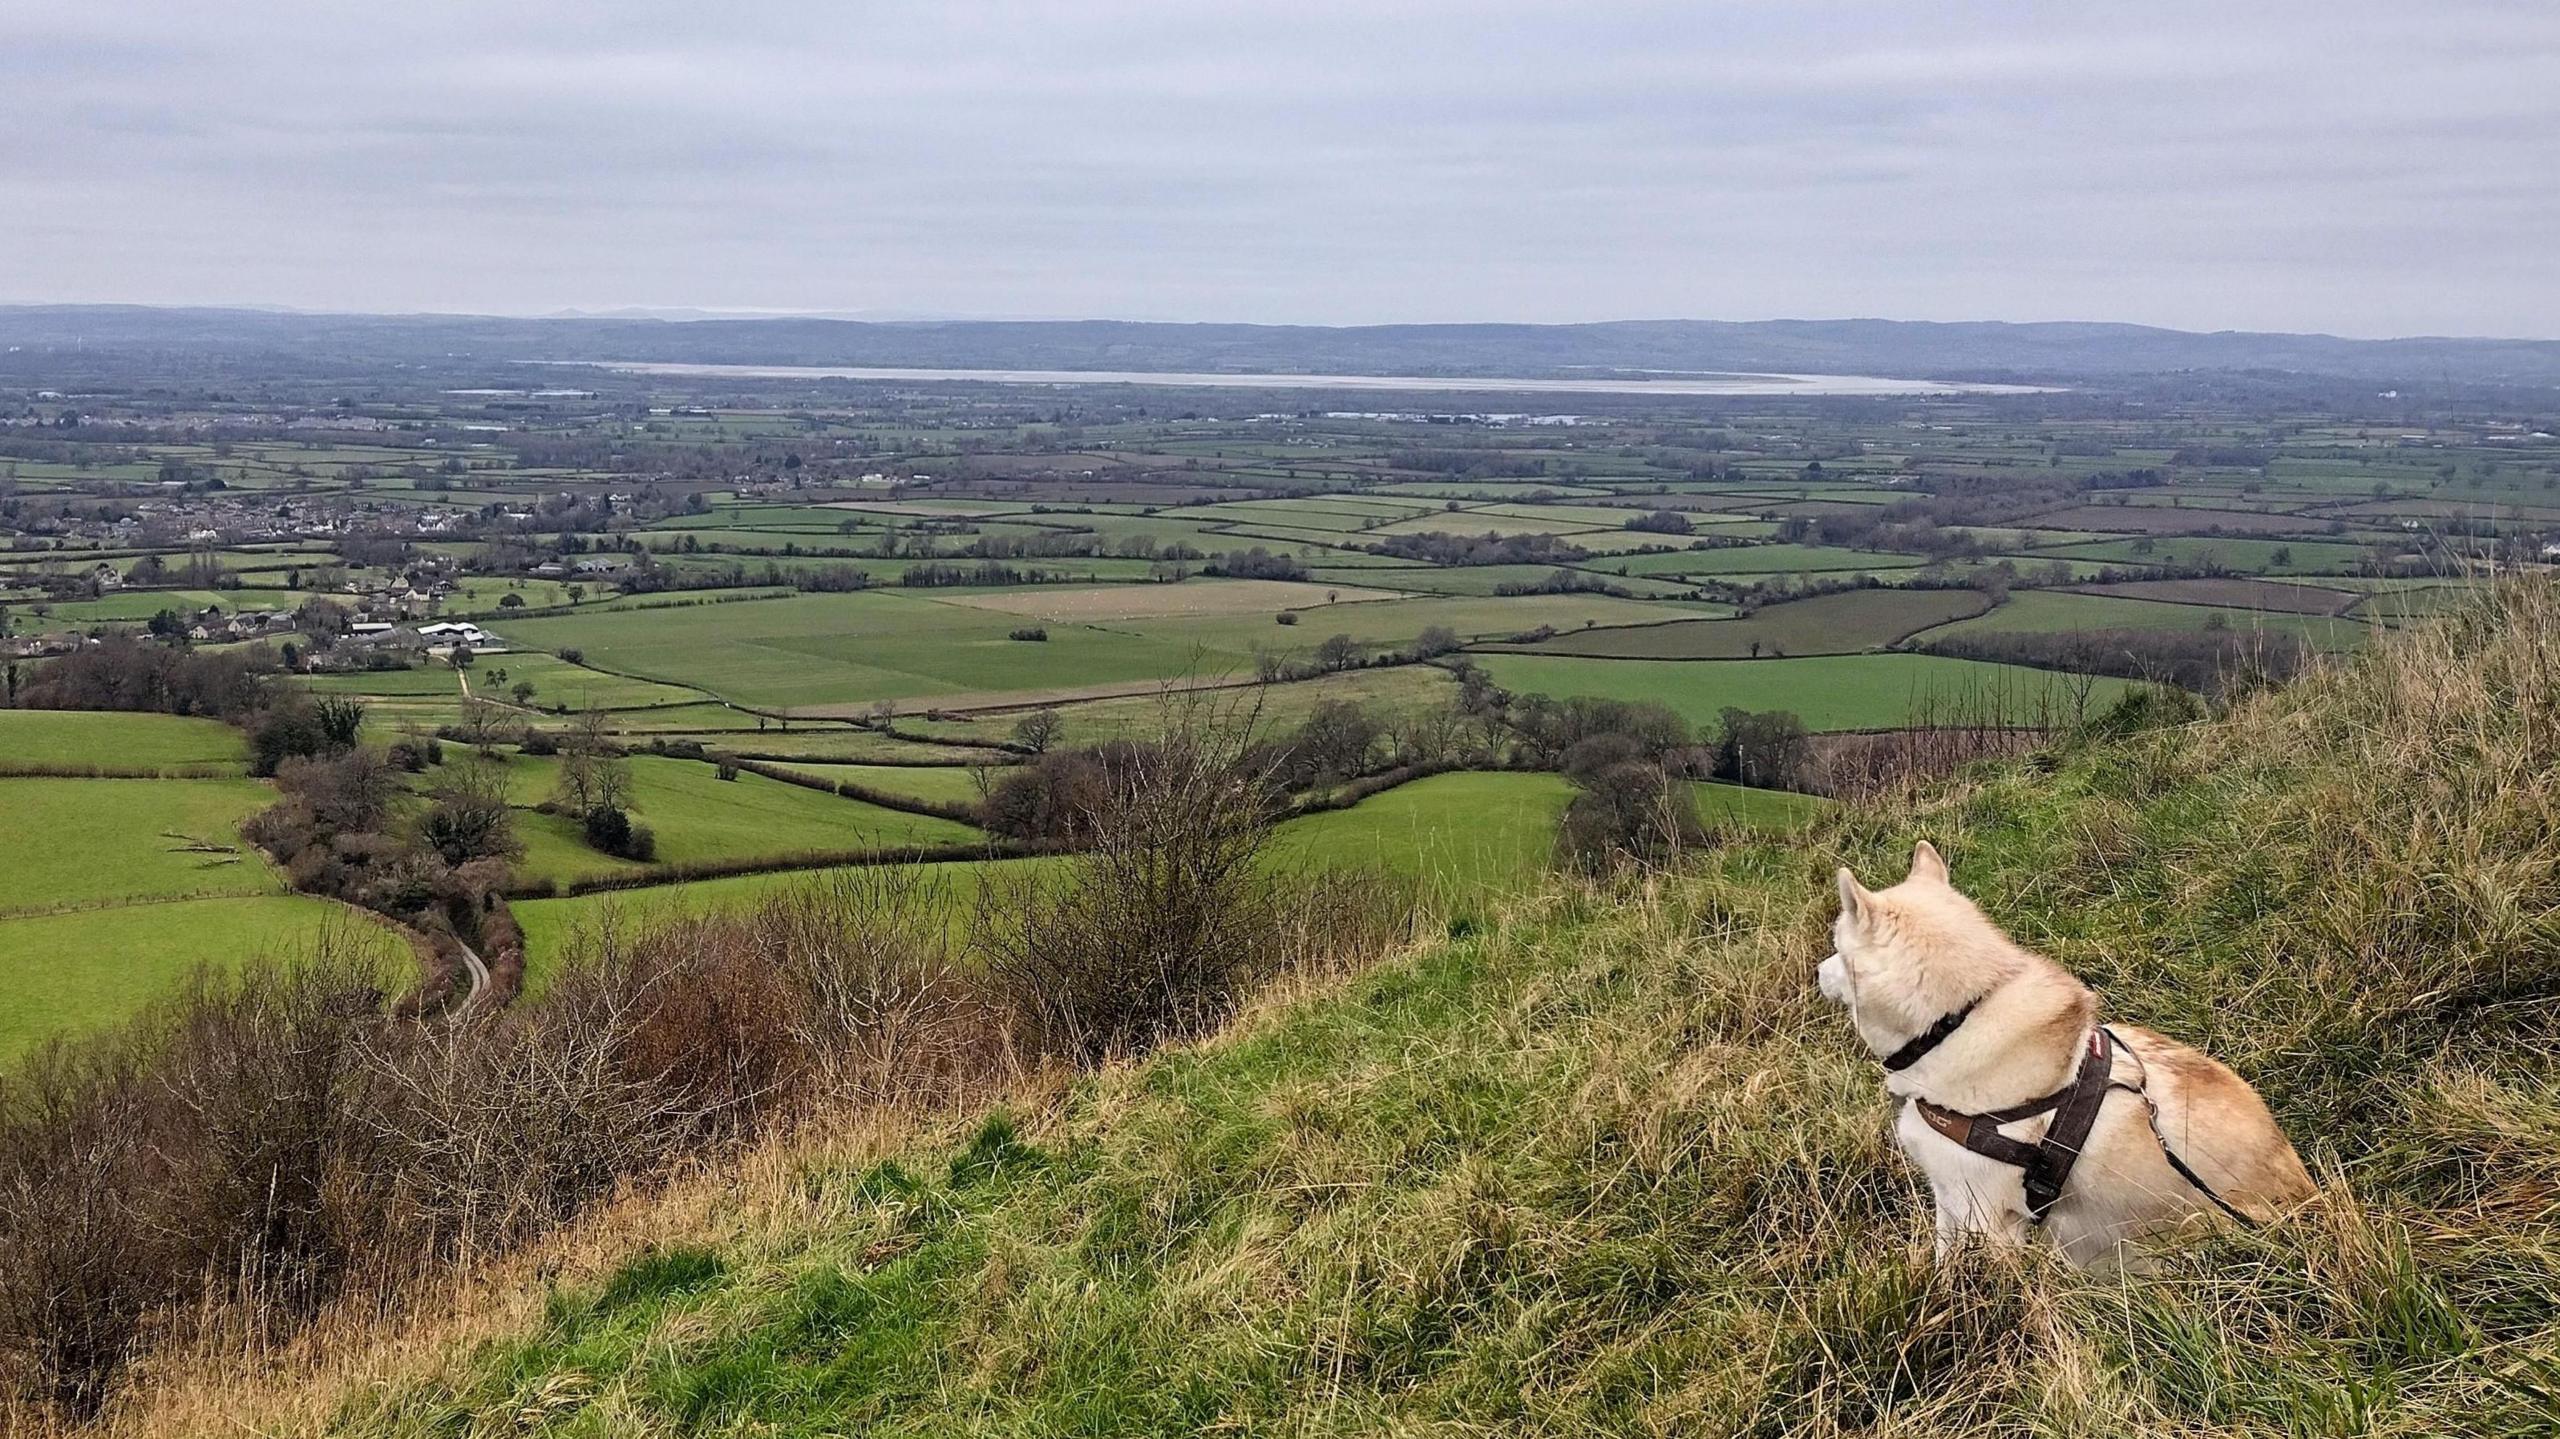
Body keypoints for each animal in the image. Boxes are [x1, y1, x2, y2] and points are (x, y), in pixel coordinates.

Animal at [1822, 834, 2324, 1259]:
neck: (1959, 1017)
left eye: (1836, 947)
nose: (1817, 971)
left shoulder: (1984, 1216)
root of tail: (2310, 1200)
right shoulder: (1947, 1202)